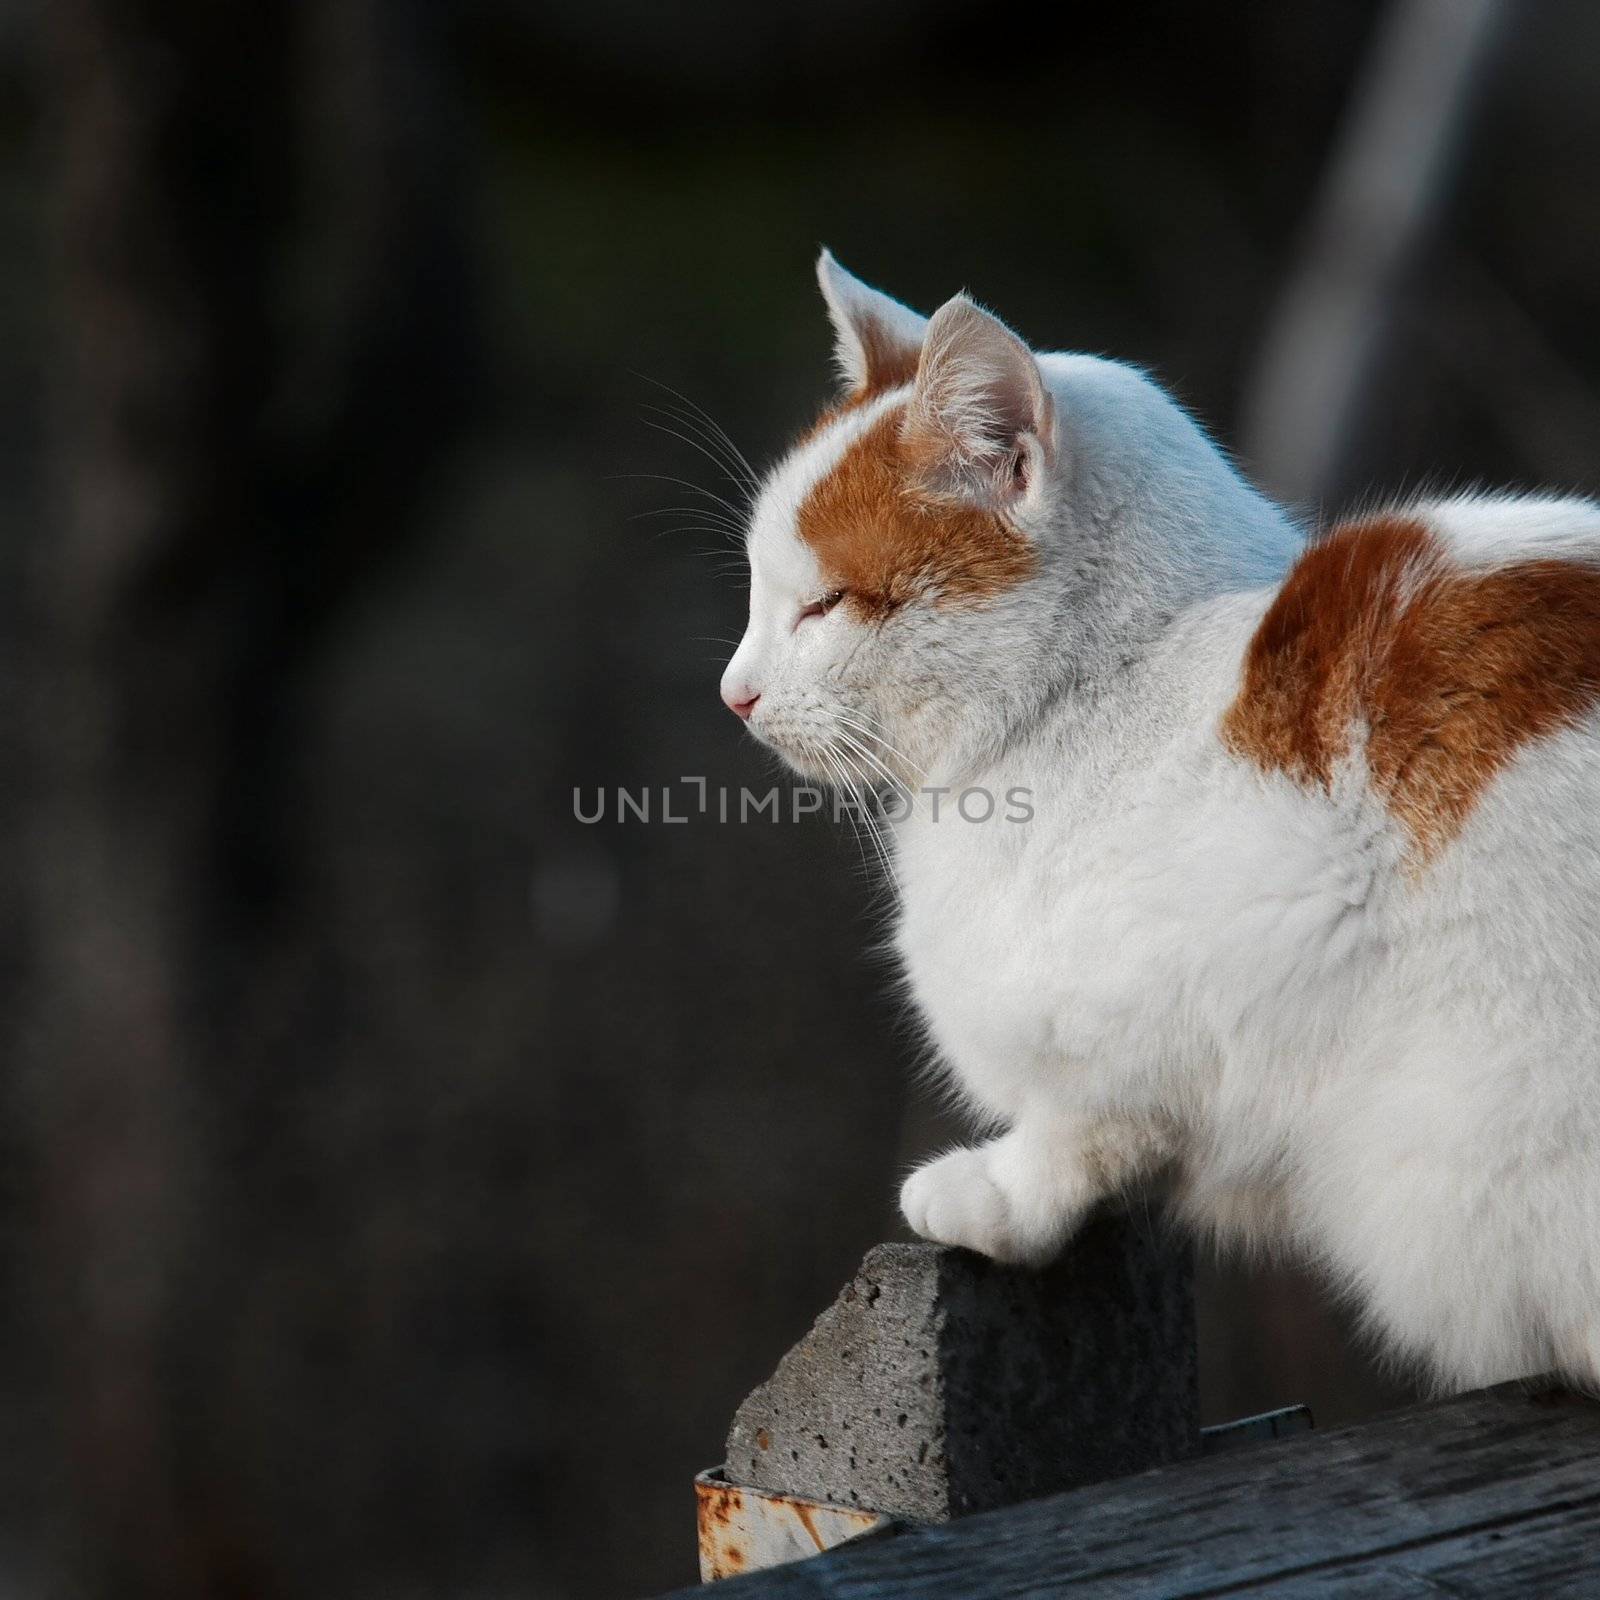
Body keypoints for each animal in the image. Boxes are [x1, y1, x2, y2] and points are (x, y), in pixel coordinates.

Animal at [723, 252, 1600, 1401]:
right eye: (757, 591)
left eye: (824, 606)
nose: (732, 692)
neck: (1117, 676)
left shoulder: (1196, 988)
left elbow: (1084, 1132)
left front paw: (998, 1196)